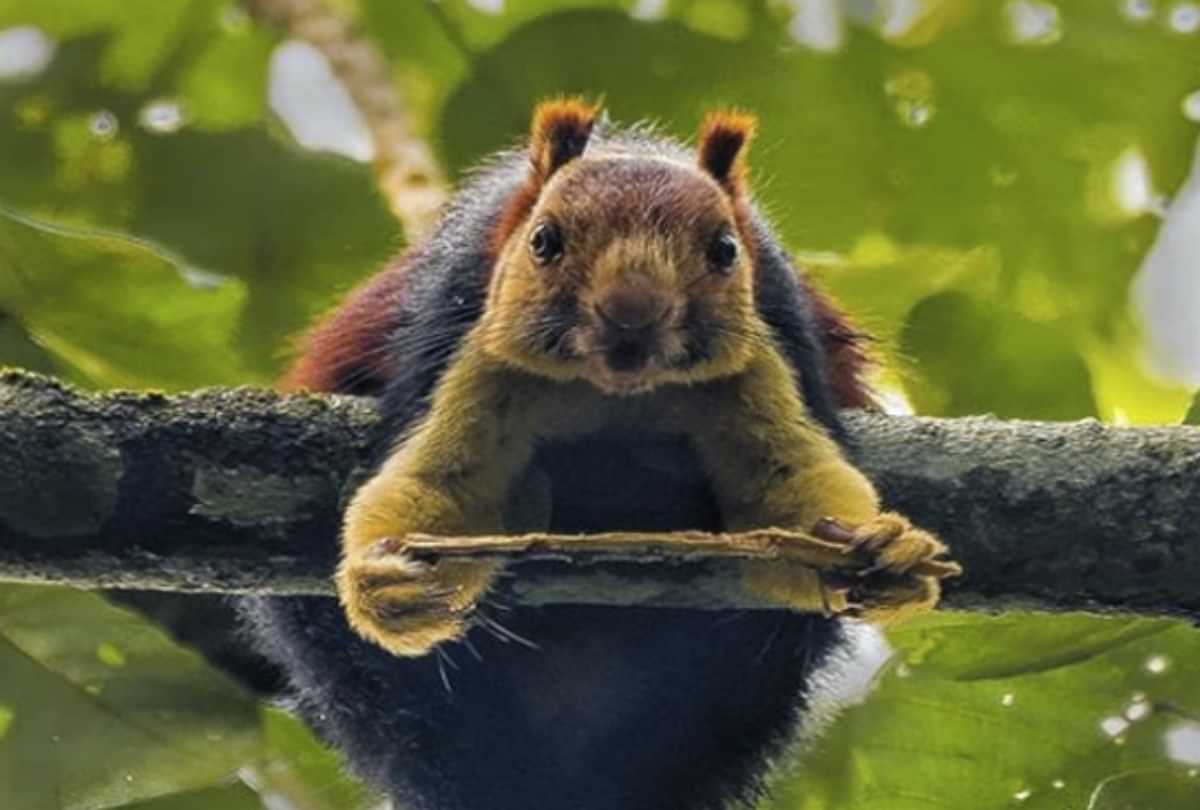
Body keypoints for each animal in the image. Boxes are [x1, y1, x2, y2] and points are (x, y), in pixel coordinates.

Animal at [242, 100, 954, 810]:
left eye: (725, 250)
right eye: (544, 242)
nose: (632, 309)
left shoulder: (779, 328)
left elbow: (783, 511)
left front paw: (885, 552)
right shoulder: (454, 319)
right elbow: (442, 487)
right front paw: (386, 580)